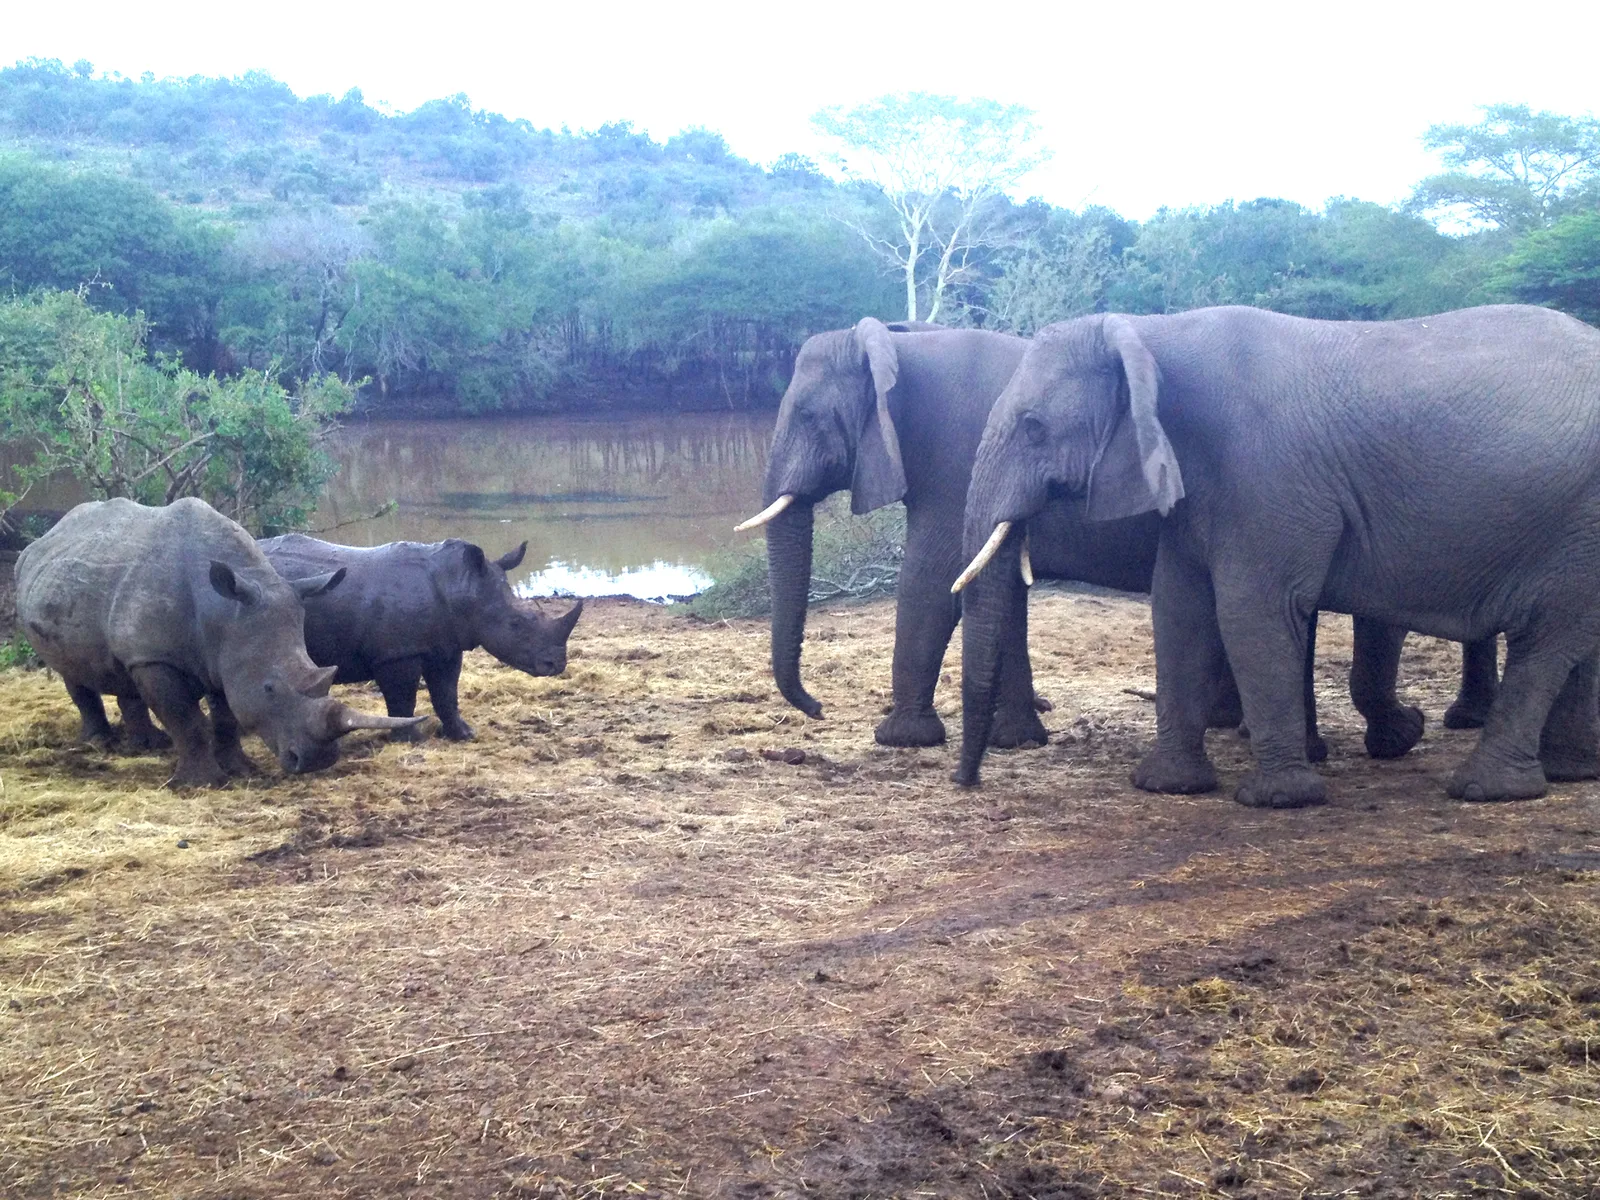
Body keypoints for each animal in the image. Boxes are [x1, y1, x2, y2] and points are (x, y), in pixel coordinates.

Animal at [735, 319, 1490, 756]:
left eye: (808, 417)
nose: (817, 709)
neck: (901, 347)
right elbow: (998, 589)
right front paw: (1017, 742)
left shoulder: (951, 461)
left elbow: (932, 581)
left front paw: (901, 739)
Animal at [953, 304, 1600, 808]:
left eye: (1034, 427)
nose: (966, 781)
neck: (1151, 332)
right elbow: (1178, 607)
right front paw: (1166, 786)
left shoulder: (1263, 475)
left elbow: (1249, 611)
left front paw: (1279, 799)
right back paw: (1570, 772)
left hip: (1579, 523)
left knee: (1547, 640)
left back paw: (1487, 789)